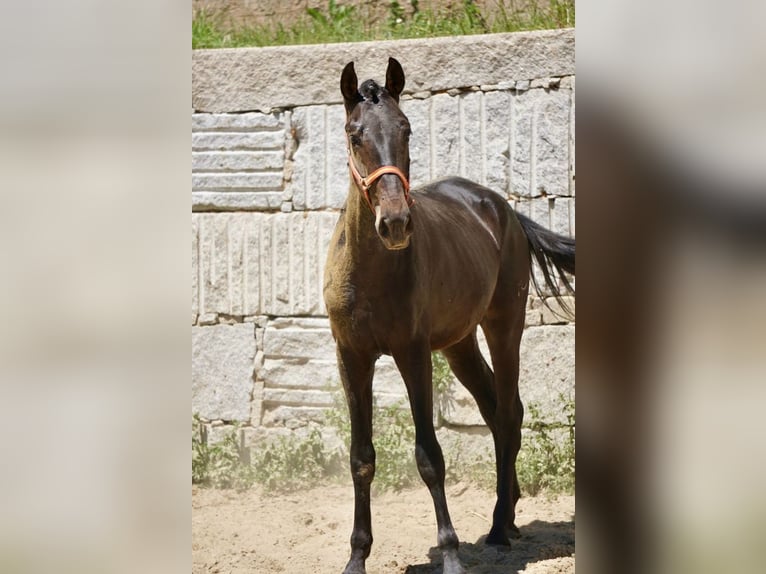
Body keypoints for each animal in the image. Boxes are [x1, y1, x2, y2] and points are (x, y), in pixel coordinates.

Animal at [324, 57, 576, 574]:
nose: (395, 223)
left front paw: (452, 553)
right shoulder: (351, 358)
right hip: (459, 345)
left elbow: (429, 455)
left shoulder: (413, 353)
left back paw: (498, 527)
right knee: (495, 410)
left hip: (504, 327)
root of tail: (503, 209)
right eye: (355, 134)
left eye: (406, 129)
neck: (370, 272)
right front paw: (357, 556)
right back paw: (509, 515)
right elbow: (361, 457)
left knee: (509, 412)